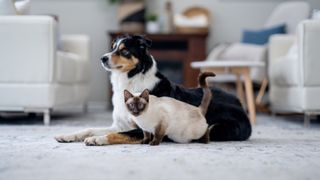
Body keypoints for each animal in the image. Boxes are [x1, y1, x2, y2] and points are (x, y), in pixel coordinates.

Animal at [55, 34, 251, 145]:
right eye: (113, 48)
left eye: (124, 51)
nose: (102, 58)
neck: (130, 81)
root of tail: (239, 102)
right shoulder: (119, 124)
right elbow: (89, 128)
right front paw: (68, 135)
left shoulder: (143, 128)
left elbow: (116, 135)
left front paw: (98, 139)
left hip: (217, 127)